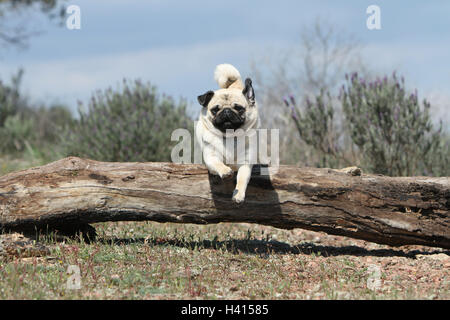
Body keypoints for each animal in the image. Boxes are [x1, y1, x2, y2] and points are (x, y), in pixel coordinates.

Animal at [197, 63, 260, 202]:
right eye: (215, 110)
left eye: (239, 109)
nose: (226, 111)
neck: (230, 135)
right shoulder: (211, 157)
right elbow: (218, 163)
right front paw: (225, 171)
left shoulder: (245, 163)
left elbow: (242, 179)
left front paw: (238, 194)